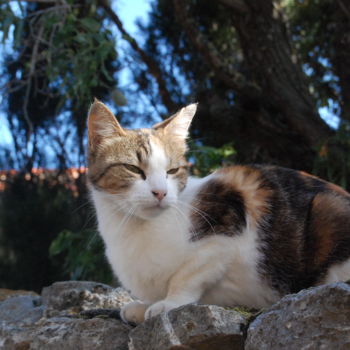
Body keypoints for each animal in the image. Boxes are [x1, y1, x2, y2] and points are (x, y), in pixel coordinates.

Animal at [86, 100, 350, 324]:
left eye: (172, 171)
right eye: (133, 169)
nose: (160, 192)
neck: (134, 228)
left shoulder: (227, 223)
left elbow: (187, 276)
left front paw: (168, 303)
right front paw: (142, 306)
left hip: (327, 208)